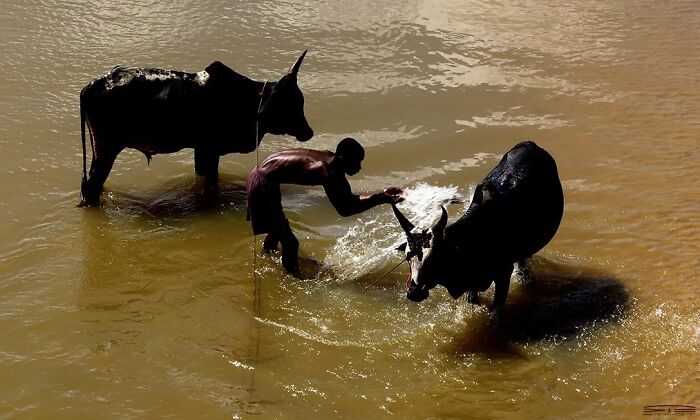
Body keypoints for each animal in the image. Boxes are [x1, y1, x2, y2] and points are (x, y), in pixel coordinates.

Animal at [79, 51, 313, 206]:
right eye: (291, 104)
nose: (309, 132)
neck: (248, 100)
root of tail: (92, 84)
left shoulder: (201, 151)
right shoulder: (208, 150)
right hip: (106, 149)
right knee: (91, 187)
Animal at [391, 141, 564, 320]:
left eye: (434, 258)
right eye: (408, 257)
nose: (413, 293)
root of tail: (528, 143)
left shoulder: (503, 273)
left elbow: (495, 314)